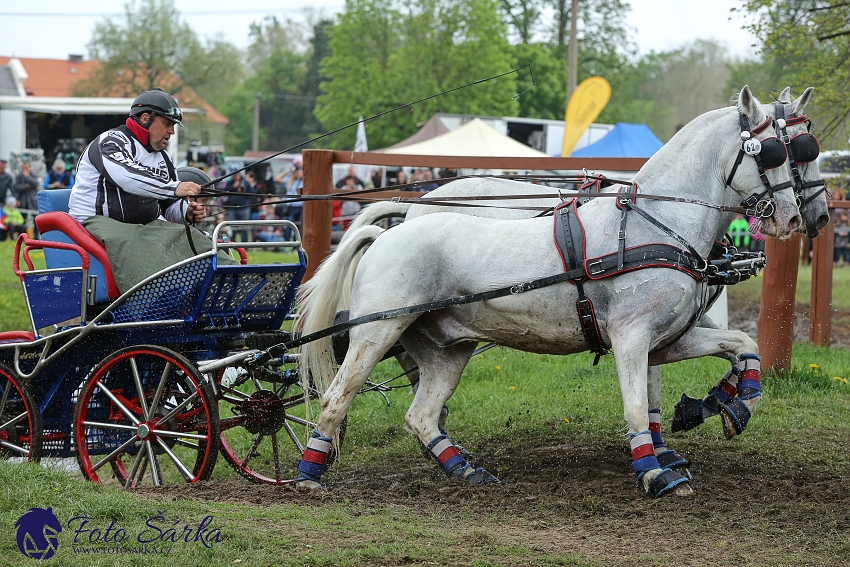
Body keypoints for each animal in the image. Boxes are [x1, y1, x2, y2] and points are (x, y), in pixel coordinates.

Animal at [294, 85, 800, 496]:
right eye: (774, 152)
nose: (795, 217)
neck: (653, 223)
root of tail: (389, 232)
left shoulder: (668, 339)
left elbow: (743, 344)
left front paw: (733, 405)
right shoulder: (631, 338)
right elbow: (638, 407)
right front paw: (656, 473)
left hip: (445, 350)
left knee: (421, 414)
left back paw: (465, 470)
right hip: (376, 334)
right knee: (336, 397)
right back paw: (308, 474)